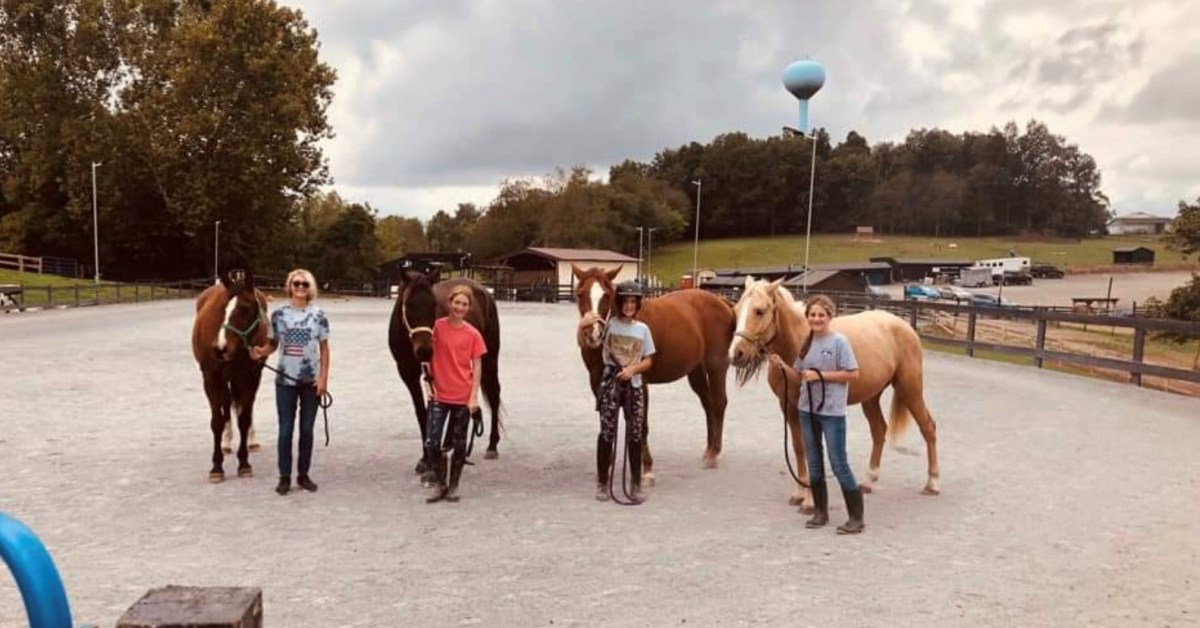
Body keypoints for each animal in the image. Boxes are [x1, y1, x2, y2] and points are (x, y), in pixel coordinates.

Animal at [191, 268, 269, 483]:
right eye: (222, 308)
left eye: (245, 308)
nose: (220, 348)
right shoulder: (211, 378)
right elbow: (217, 421)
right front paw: (216, 467)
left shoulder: (251, 377)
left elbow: (244, 418)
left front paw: (244, 464)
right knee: (226, 405)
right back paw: (225, 443)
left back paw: (251, 441)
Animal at [387, 270, 503, 473]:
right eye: (409, 304)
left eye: (433, 304)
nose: (425, 351)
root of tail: (484, 291)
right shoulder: (407, 372)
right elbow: (422, 411)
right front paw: (426, 458)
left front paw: (429, 458)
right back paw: (449, 442)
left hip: (489, 358)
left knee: (494, 394)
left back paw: (492, 446)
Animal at [572, 265, 736, 483]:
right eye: (580, 293)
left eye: (606, 295)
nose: (593, 334)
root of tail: (721, 301)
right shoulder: (599, 384)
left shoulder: (639, 383)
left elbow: (641, 424)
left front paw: (646, 469)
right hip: (696, 370)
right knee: (708, 404)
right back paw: (708, 450)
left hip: (716, 366)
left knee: (719, 403)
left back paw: (714, 454)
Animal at [727, 276, 940, 509]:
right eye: (737, 309)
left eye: (760, 311)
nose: (736, 353)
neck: (799, 344)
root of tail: (904, 326)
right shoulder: (788, 406)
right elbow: (799, 447)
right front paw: (800, 494)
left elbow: (811, 449)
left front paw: (810, 502)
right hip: (871, 397)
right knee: (879, 430)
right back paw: (868, 480)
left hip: (910, 389)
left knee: (928, 427)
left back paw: (932, 483)